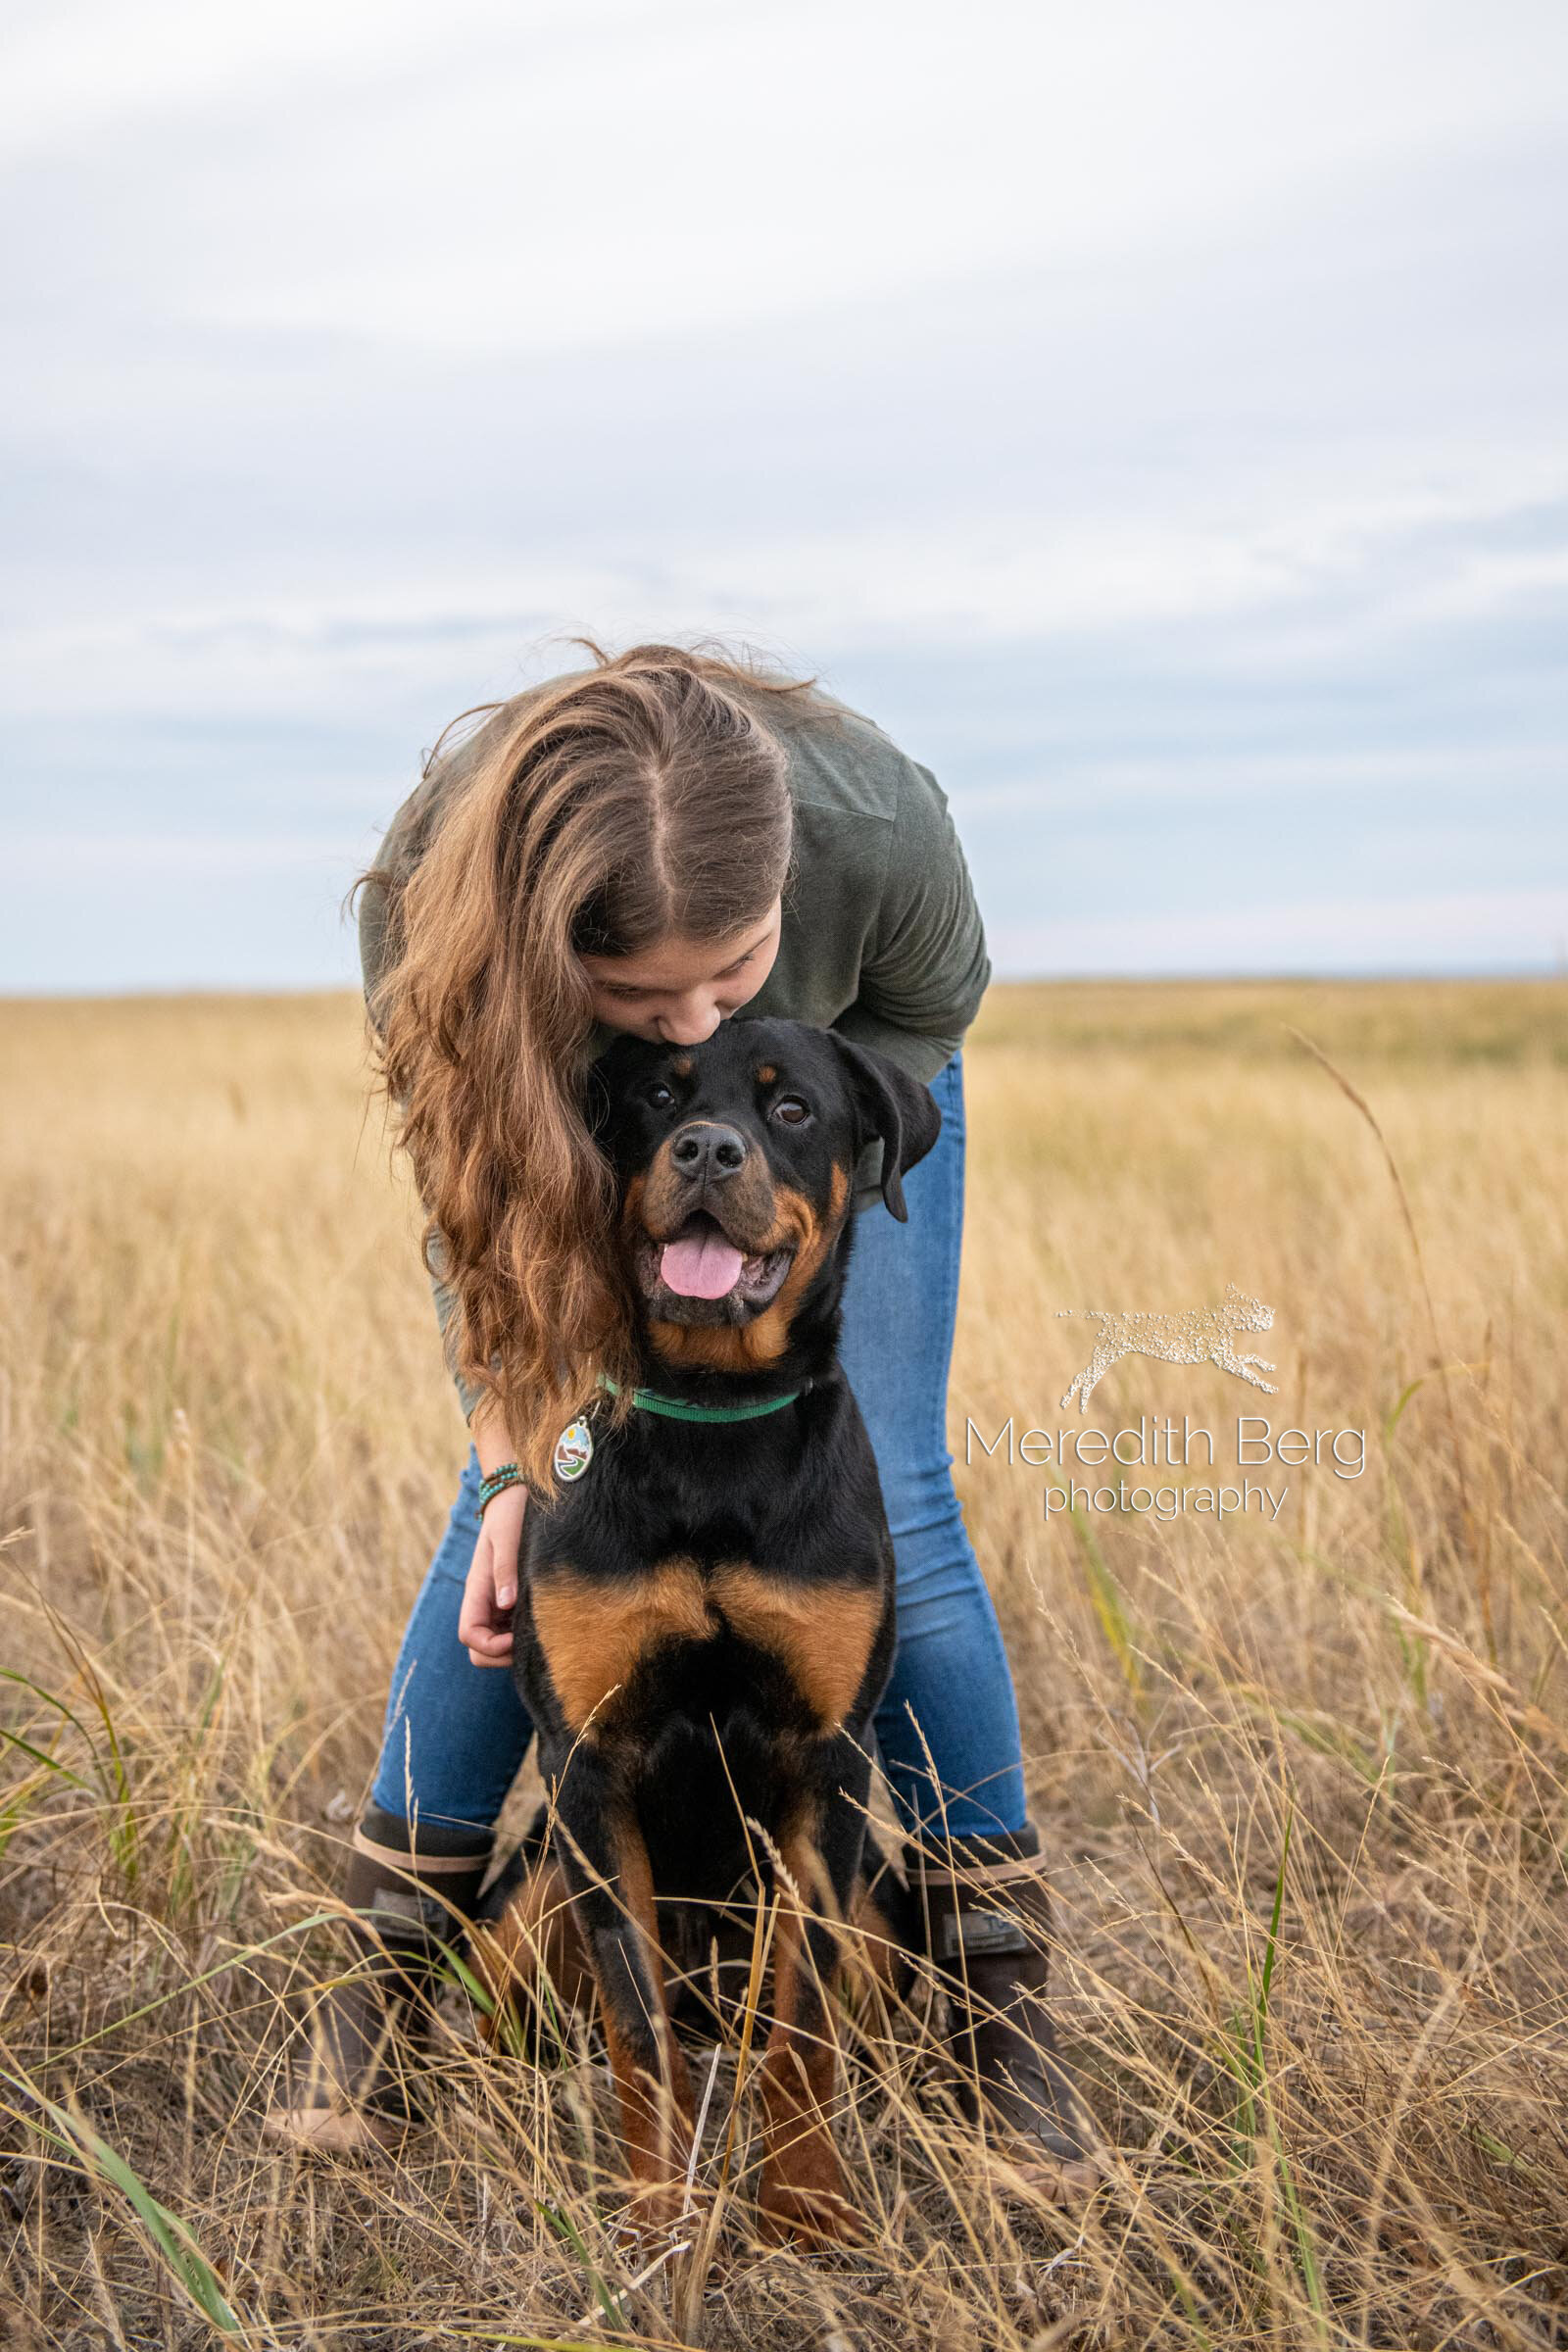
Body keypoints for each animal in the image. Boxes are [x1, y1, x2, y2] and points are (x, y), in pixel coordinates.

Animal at [479, 1020, 940, 2248]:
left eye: (790, 1111)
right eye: (655, 1095)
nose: (705, 1150)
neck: (711, 1420)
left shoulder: (824, 1763)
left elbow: (804, 2019)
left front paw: (805, 2199)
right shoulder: (590, 1764)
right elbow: (635, 2027)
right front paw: (658, 2209)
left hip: (878, 1903)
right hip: (530, 1896)